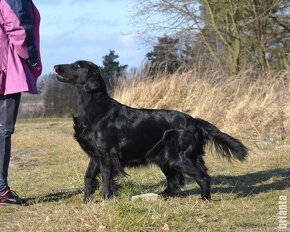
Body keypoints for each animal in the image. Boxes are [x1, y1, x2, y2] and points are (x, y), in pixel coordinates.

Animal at [53, 60, 248, 202]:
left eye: (77, 66)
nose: (55, 67)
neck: (94, 108)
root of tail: (194, 121)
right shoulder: (95, 155)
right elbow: (88, 177)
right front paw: (87, 201)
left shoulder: (107, 156)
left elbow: (107, 181)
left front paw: (107, 201)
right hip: (165, 158)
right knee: (175, 181)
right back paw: (162, 196)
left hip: (179, 158)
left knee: (202, 177)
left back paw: (204, 199)